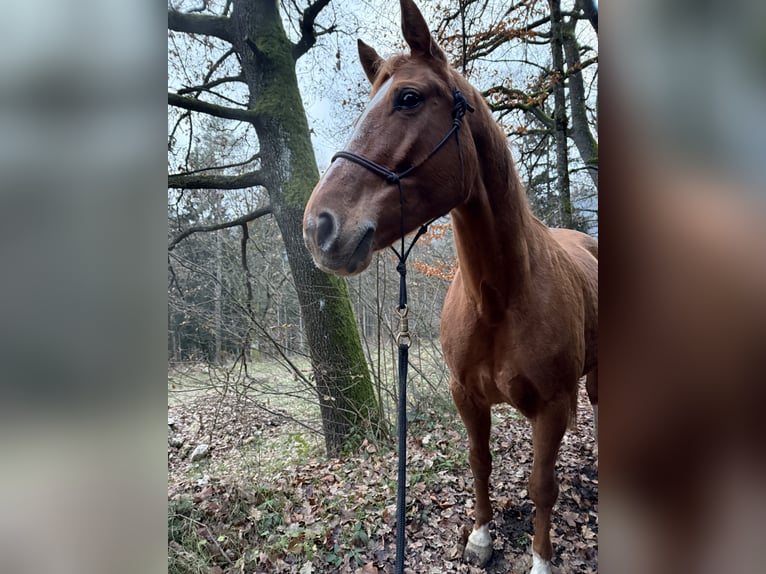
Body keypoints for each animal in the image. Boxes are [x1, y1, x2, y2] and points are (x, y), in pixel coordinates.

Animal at [302, 1, 598, 572]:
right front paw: (481, 535)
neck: (501, 296)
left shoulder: (552, 407)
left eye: (408, 98)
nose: (318, 227)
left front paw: (541, 558)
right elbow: (479, 462)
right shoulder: (467, 397)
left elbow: (542, 486)